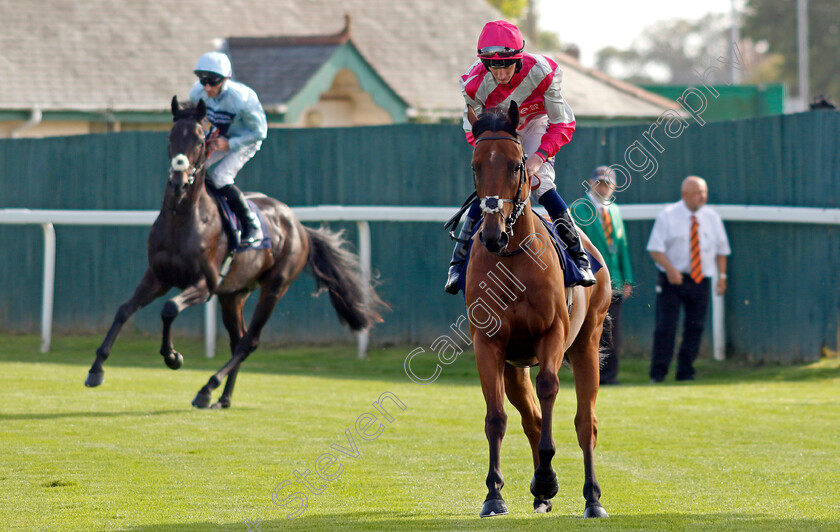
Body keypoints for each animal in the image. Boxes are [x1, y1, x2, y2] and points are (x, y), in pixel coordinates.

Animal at [83, 97, 386, 410]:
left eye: (200, 139)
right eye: (170, 136)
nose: (178, 180)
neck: (183, 218)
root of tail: (299, 226)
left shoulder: (205, 285)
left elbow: (169, 309)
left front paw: (173, 357)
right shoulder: (158, 277)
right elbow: (124, 310)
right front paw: (96, 369)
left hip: (274, 287)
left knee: (249, 342)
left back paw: (207, 389)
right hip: (233, 294)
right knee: (236, 340)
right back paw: (223, 398)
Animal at [466, 102, 612, 516]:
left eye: (517, 165)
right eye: (475, 165)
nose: (493, 234)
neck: (513, 258)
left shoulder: (552, 334)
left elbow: (550, 389)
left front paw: (547, 476)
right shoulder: (489, 343)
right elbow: (496, 416)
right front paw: (494, 494)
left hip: (586, 343)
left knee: (585, 422)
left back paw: (592, 498)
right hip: (515, 366)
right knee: (529, 416)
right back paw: (540, 495)